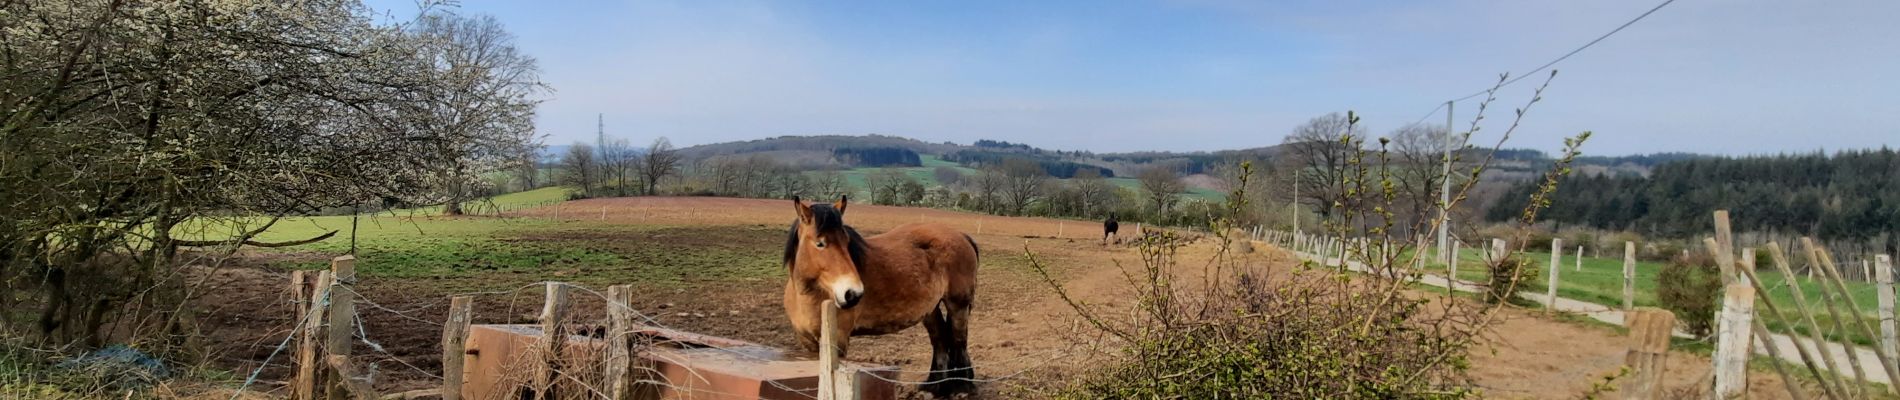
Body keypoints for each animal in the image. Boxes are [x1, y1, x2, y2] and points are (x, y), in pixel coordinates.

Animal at [779, 195, 980, 396]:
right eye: (820, 243)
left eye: (846, 242)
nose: (853, 293)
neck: (808, 295)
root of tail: (961, 235)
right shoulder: (808, 344)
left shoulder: (839, 342)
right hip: (930, 310)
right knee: (939, 341)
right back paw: (934, 387)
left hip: (958, 305)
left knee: (959, 340)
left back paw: (963, 388)